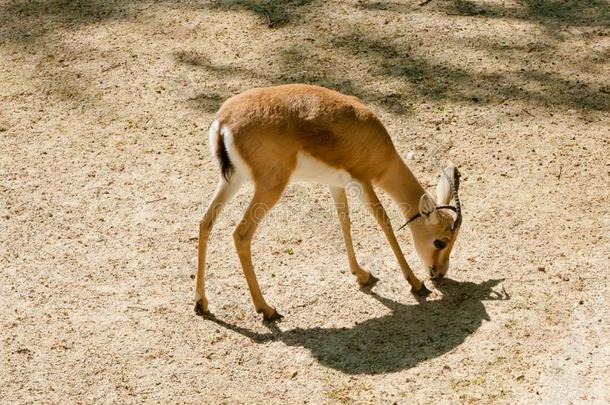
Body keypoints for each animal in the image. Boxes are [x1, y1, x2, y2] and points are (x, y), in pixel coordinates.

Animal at [195, 83, 460, 320]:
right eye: (440, 242)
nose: (439, 273)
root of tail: (224, 123)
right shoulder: (362, 181)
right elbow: (384, 222)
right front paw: (416, 284)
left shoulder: (336, 185)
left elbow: (345, 222)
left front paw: (362, 274)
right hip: (270, 187)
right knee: (240, 234)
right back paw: (267, 310)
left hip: (233, 180)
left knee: (205, 222)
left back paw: (202, 304)